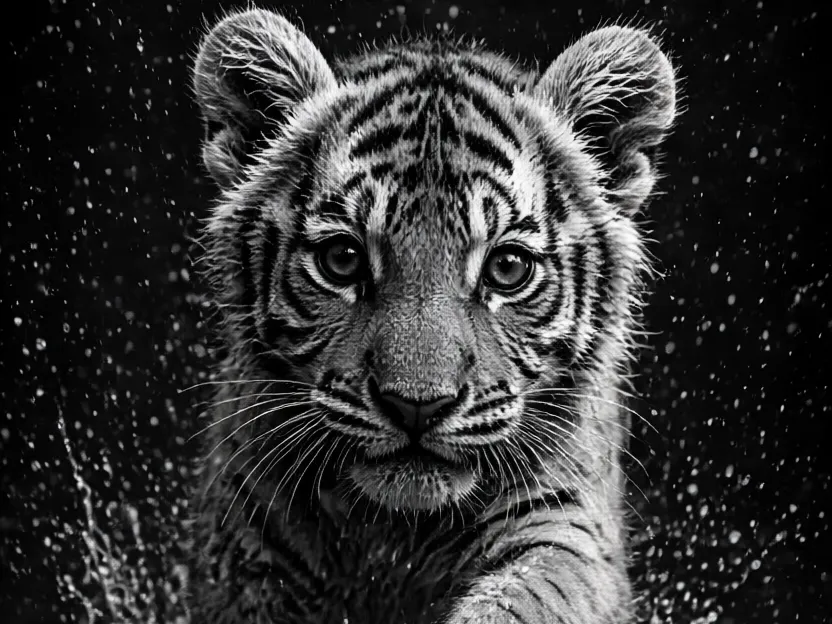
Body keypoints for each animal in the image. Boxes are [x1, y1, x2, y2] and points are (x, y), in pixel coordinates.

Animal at [187, 7, 677, 624]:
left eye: (507, 267)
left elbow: (530, 594)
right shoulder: (246, 546)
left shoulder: (566, 523)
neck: (395, 534)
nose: (416, 406)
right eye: (342, 259)